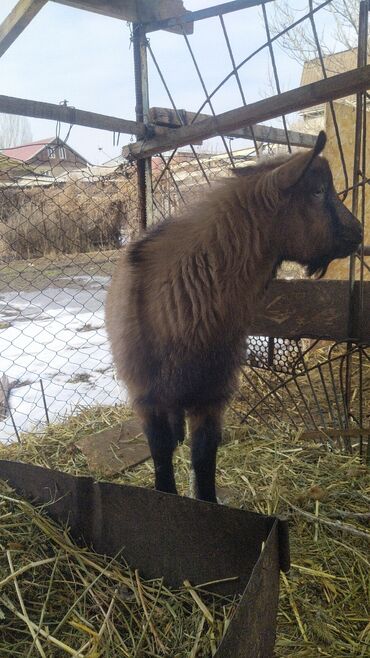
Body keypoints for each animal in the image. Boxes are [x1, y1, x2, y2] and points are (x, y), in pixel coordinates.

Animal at [105, 133, 362, 502]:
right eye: (317, 192)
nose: (358, 232)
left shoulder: (213, 395)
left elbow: (204, 457)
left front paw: (208, 500)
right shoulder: (146, 398)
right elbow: (162, 459)